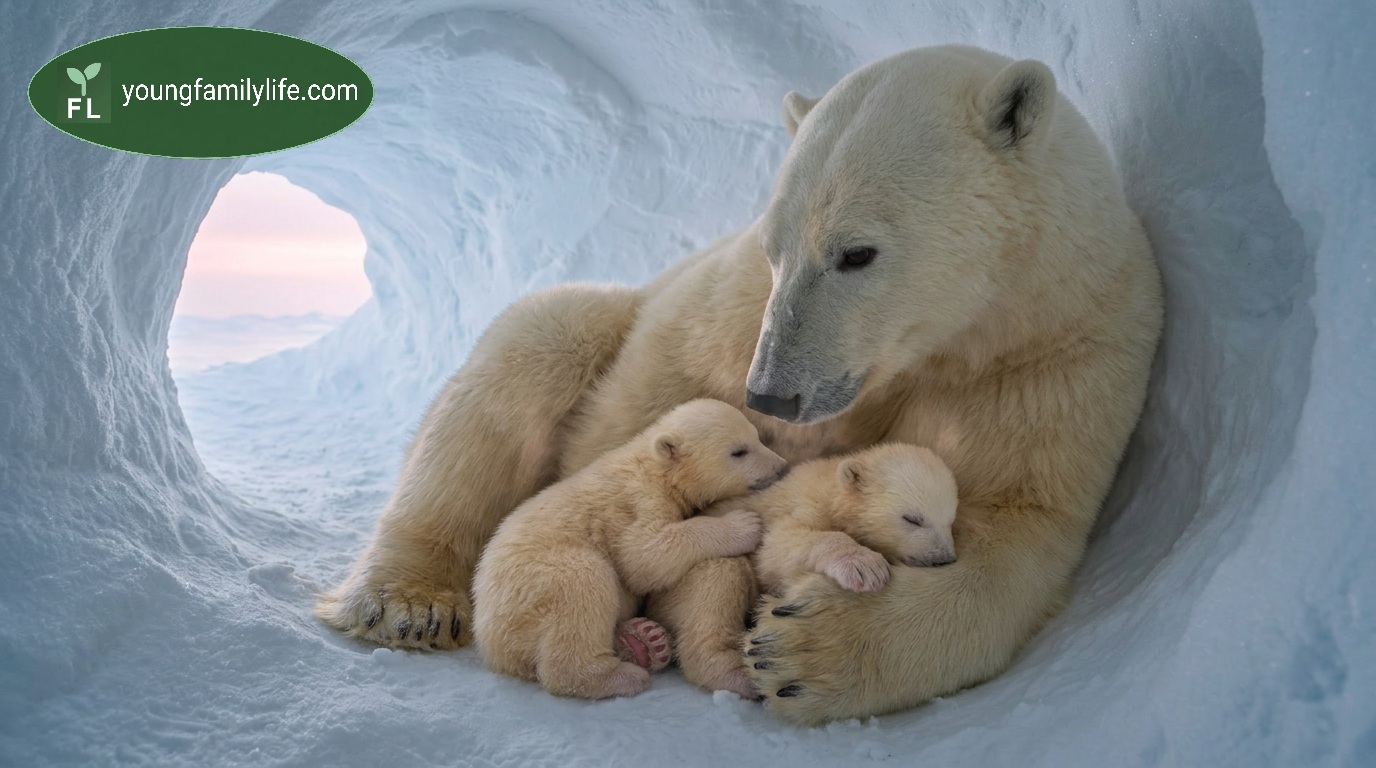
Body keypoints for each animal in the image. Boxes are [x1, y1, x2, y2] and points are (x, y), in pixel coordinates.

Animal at [471, 399, 787, 699]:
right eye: (739, 451)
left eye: (758, 437)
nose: (781, 466)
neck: (655, 466)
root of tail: (487, 638)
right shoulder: (638, 501)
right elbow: (642, 557)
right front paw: (745, 524)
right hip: (530, 586)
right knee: (583, 584)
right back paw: (619, 676)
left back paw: (642, 640)